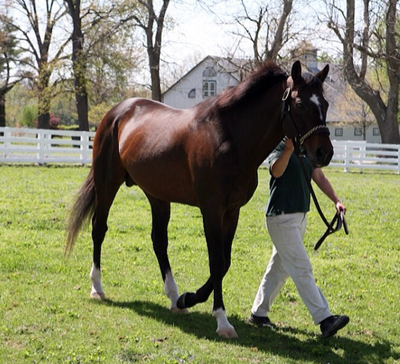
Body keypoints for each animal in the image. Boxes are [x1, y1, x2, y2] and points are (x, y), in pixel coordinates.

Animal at [66, 60, 334, 338]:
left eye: (325, 104)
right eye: (300, 104)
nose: (324, 153)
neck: (229, 138)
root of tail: (116, 112)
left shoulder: (232, 211)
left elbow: (224, 262)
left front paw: (188, 298)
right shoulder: (211, 209)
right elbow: (216, 261)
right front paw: (222, 320)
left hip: (157, 195)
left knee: (159, 241)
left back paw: (174, 298)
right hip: (107, 184)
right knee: (99, 228)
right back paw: (97, 288)